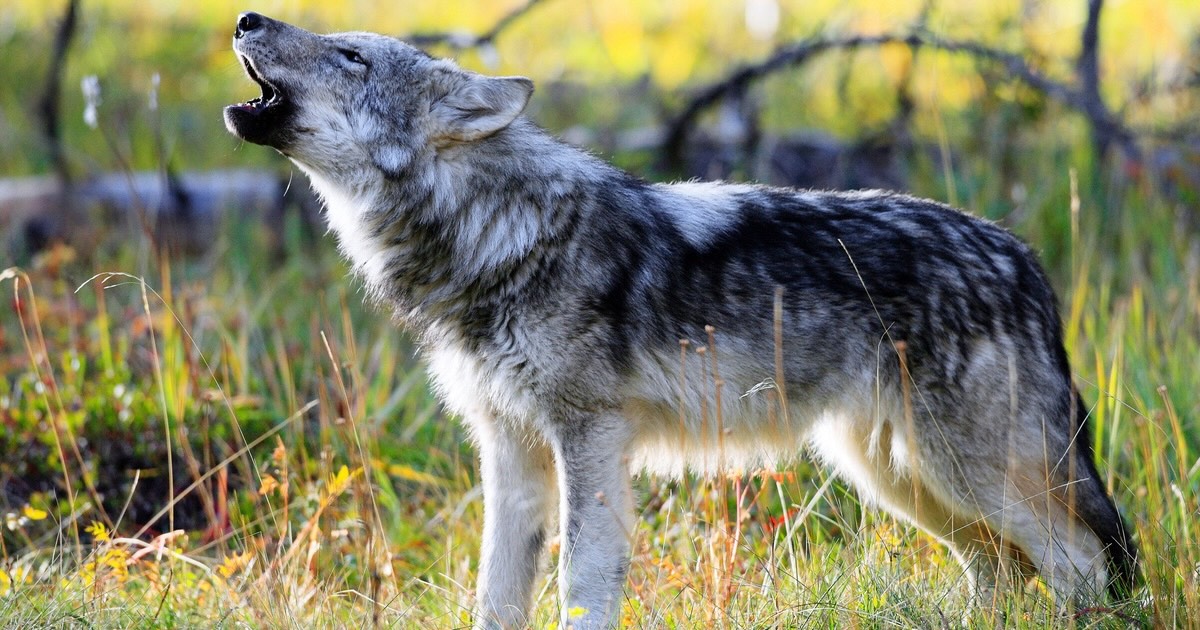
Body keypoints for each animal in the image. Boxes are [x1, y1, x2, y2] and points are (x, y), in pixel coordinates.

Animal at [224, 12, 1137, 628]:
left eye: (351, 56)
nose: (247, 17)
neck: (496, 232)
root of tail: (1023, 259)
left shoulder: (588, 436)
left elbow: (582, 581)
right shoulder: (510, 449)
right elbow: (496, 593)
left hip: (962, 474)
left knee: (1079, 563)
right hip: (900, 477)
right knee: (1003, 571)